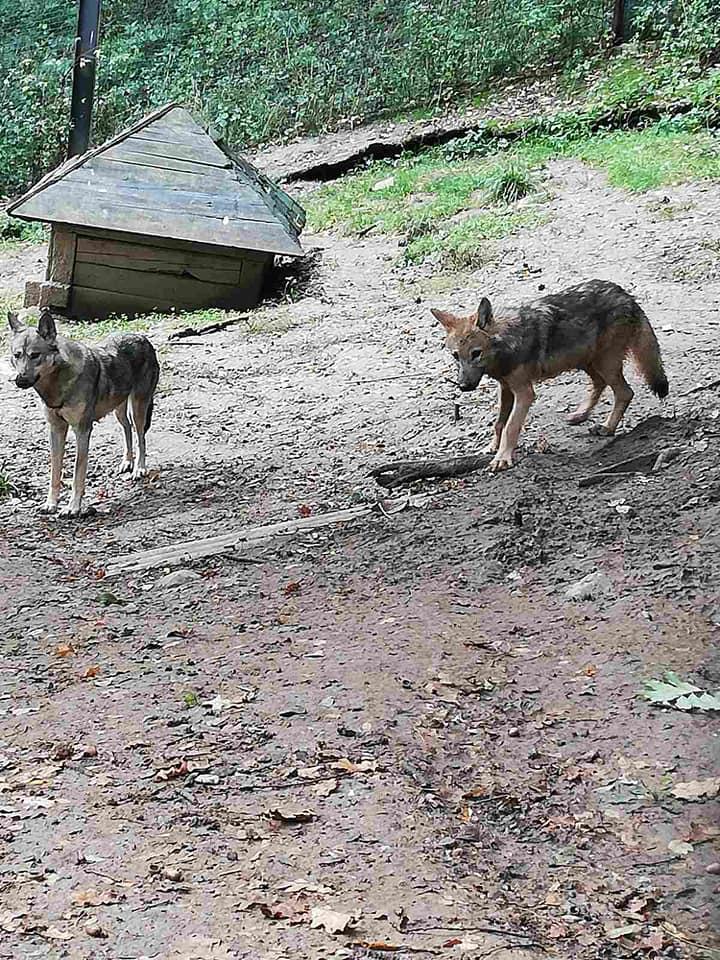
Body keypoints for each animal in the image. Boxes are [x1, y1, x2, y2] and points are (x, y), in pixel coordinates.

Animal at [7, 310, 159, 516]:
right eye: (17, 355)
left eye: (35, 355)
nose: (20, 380)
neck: (58, 386)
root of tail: (142, 338)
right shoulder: (55, 430)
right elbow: (55, 472)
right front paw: (50, 504)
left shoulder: (82, 431)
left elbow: (78, 473)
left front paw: (73, 507)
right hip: (119, 410)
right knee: (127, 430)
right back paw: (126, 462)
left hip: (138, 409)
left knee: (140, 437)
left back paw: (139, 469)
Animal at [428, 278, 668, 472]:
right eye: (456, 356)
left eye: (476, 354)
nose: (463, 386)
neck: (506, 343)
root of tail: (626, 295)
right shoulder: (505, 388)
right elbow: (499, 424)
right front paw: (492, 448)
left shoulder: (524, 393)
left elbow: (510, 427)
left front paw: (503, 458)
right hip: (587, 362)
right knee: (600, 385)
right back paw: (580, 414)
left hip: (604, 364)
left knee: (625, 393)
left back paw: (607, 428)